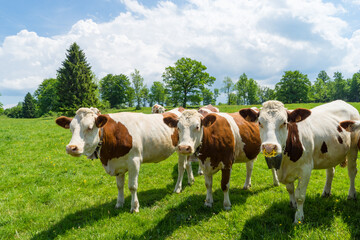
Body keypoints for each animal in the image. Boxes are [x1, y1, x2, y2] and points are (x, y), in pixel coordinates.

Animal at [55, 107, 194, 212]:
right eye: (71, 128)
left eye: (89, 127)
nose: (71, 148)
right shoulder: (117, 164)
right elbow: (119, 185)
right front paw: (119, 203)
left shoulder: (134, 161)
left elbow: (132, 186)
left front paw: (134, 207)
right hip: (186, 149)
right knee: (188, 164)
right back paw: (190, 180)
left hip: (181, 149)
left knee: (181, 167)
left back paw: (177, 188)